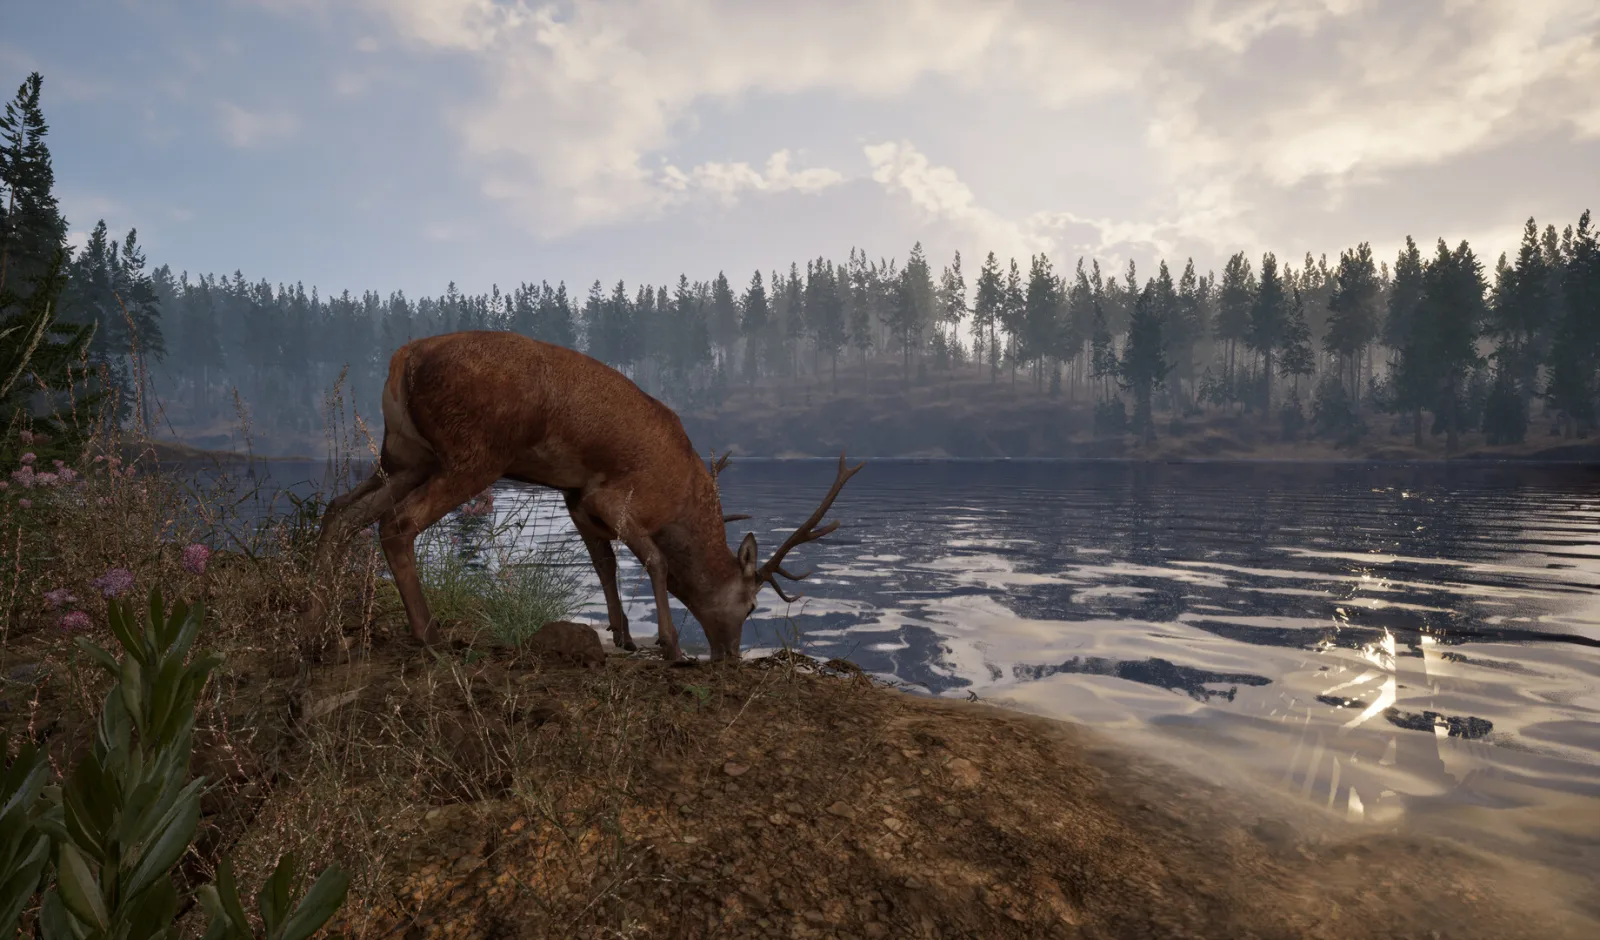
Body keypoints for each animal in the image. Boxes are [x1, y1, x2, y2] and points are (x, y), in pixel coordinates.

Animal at [305, 330, 863, 663]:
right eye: (749, 607)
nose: (729, 658)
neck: (683, 500)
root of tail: (403, 358)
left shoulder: (577, 499)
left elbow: (605, 565)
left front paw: (622, 634)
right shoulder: (620, 496)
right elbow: (656, 562)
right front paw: (671, 647)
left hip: (405, 456)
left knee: (338, 512)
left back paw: (321, 630)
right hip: (473, 453)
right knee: (395, 524)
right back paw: (429, 635)